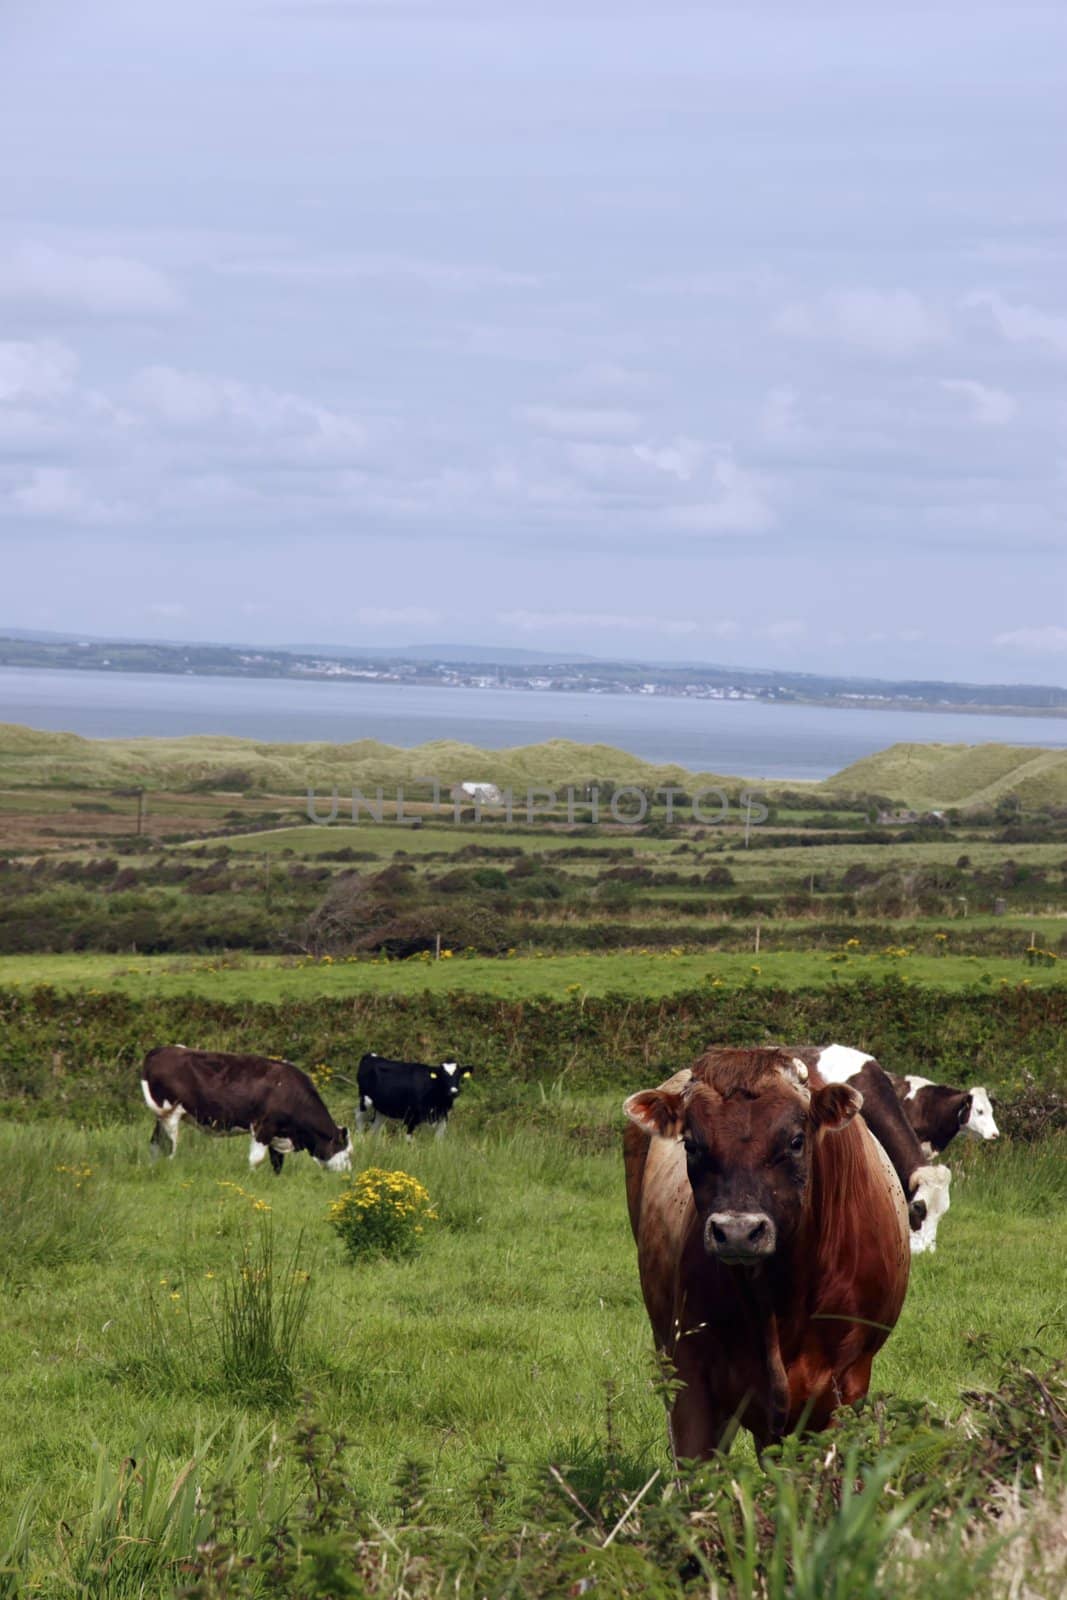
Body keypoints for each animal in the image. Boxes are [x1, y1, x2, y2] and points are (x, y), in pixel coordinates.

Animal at [139, 1049, 350, 1177]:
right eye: (347, 1154)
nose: (347, 1176)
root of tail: (159, 1051)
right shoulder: (263, 1126)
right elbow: (257, 1158)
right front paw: (251, 1177)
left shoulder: (278, 1133)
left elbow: (277, 1162)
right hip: (170, 1115)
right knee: (169, 1146)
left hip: (161, 1118)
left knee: (155, 1143)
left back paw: (152, 1167)